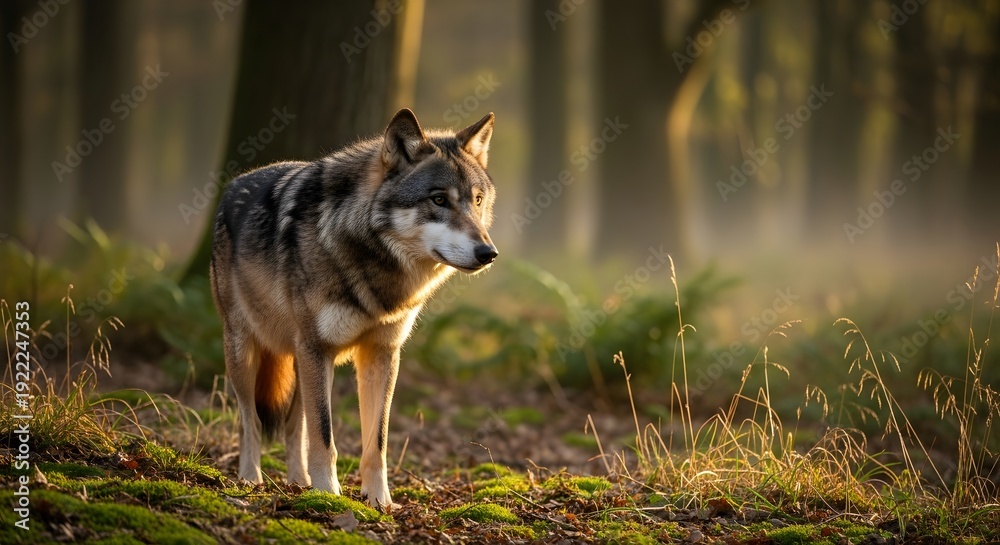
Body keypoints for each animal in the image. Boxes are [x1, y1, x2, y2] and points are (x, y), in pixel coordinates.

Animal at [209, 109, 497, 509]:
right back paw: (251, 479)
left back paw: (298, 483)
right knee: (250, 418)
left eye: (478, 200)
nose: (489, 253)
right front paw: (329, 495)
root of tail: (234, 184)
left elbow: (376, 442)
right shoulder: (319, 349)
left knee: (293, 425)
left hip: (300, 361)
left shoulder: (381, 355)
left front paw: (379, 501)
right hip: (246, 352)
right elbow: (325, 436)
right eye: (439, 200)